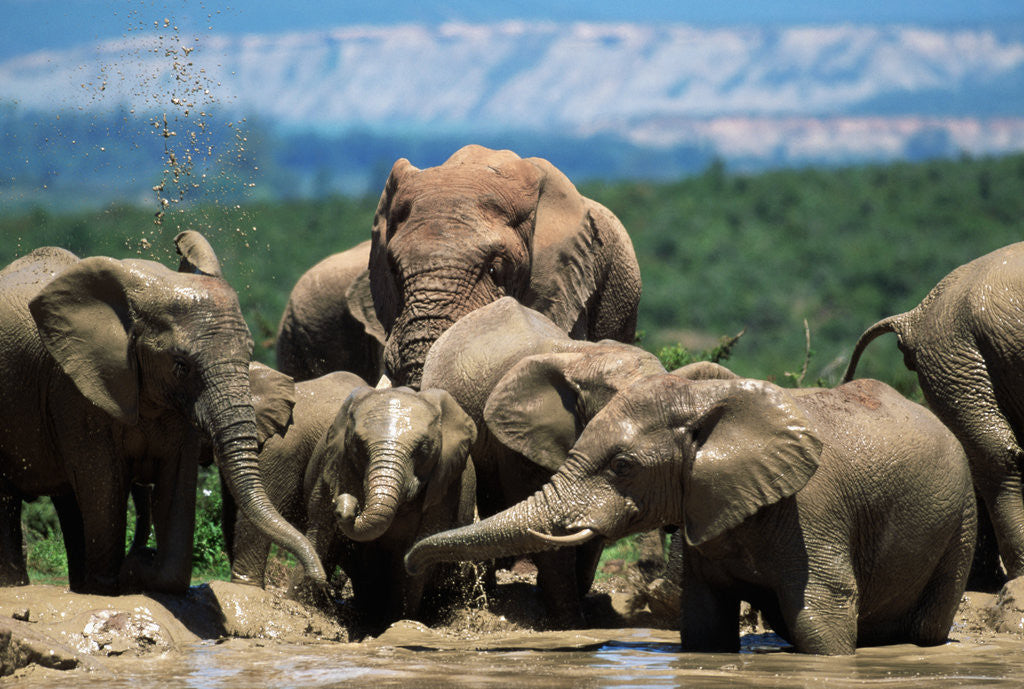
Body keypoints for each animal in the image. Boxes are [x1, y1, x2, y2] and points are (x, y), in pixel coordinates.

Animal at [0, 232, 325, 594]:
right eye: (180, 365)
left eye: (249, 355)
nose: (320, 578)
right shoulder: (75, 389)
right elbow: (103, 484)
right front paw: (113, 584)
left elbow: (176, 488)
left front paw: (137, 570)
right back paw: (18, 586)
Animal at [224, 366, 477, 628]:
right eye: (358, 446)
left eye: (424, 449)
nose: (347, 502)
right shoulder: (333, 464)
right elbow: (320, 535)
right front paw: (300, 604)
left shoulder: (447, 486)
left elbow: (414, 555)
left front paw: (396, 622)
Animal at [406, 374, 976, 654]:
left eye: (623, 467)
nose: (411, 560)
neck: (708, 400)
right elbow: (704, 626)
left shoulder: (815, 509)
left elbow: (821, 620)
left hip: (963, 515)